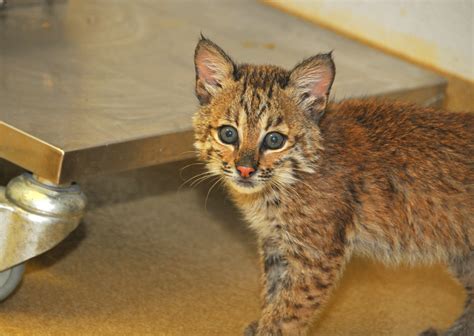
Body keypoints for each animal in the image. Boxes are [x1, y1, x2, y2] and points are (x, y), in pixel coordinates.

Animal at [192, 37, 470, 336]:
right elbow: (273, 292)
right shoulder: (275, 242)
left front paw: (270, 329)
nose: (245, 170)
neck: (282, 183)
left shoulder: (317, 255)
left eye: (275, 140)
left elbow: (287, 311)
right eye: (228, 134)